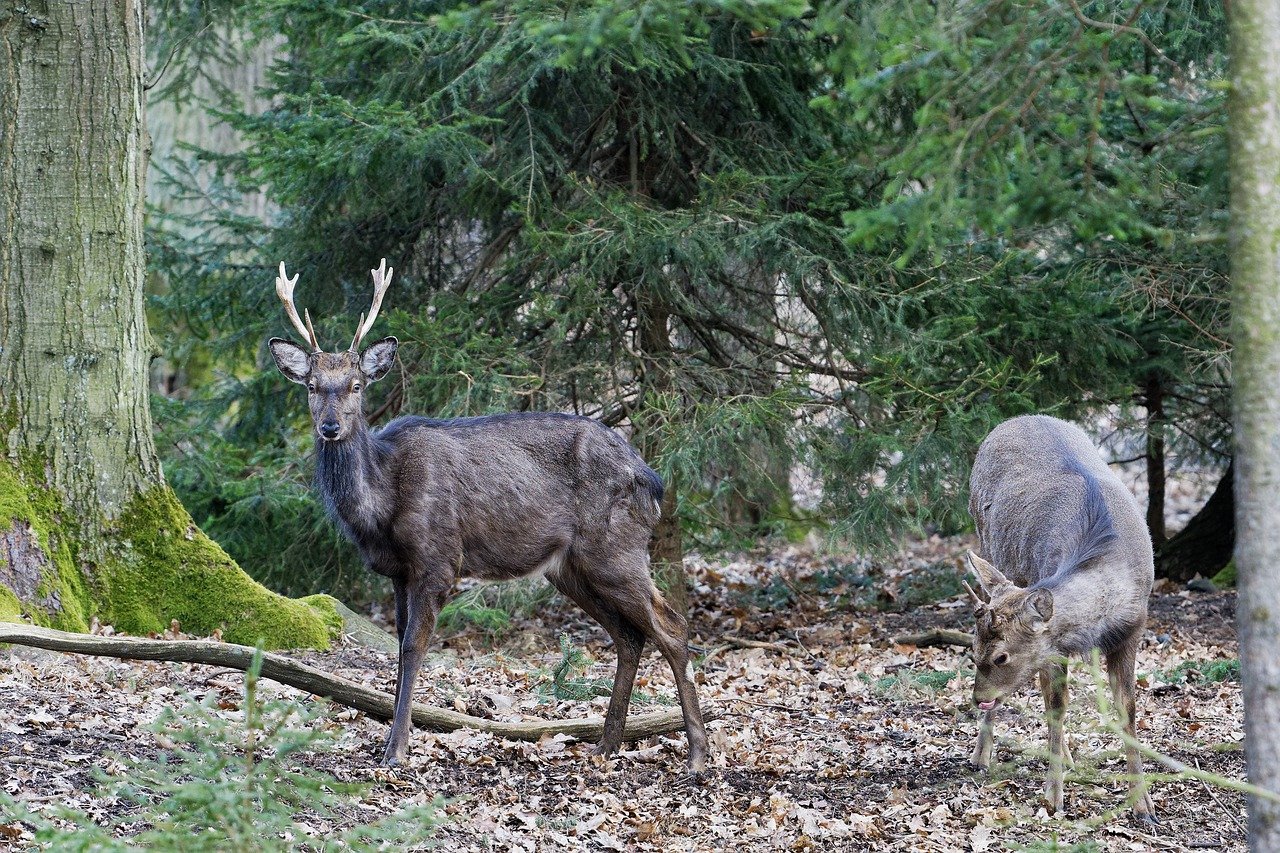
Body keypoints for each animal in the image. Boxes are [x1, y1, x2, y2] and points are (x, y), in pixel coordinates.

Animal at [264, 258, 711, 768]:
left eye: (356, 385)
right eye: (312, 386)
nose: (330, 426)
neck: (382, 504)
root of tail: (651, 477)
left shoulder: (438, 559)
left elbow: (414, 647)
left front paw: (396, 749)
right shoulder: (397, 571)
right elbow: (397, 645)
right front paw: (390, 739)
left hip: (616, 548)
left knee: (670, 625)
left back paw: (698, 755)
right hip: (570, 566)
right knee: (628, 636)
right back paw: (606, 744)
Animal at [962, 412, 1157, 819]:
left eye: (1001, 656)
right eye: (972, 652)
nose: (978, 697)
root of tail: (1016, 418)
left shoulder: (1133, 630)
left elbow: (1128, 710)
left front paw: (1143, 803)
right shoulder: (1054, 646)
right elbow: (1056, 706)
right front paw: (1053, 798)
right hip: (987, 540)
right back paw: (982, 756)